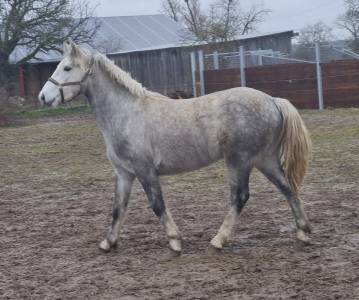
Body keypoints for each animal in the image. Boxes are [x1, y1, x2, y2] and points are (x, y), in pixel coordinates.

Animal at [37, 39, 312, 254]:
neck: (125, 113)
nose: (43, 97)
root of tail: (273, 101)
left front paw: (175, 241)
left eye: (67, 67)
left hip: (239, 161)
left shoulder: (145, 170)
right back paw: (303, 232)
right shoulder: (124, 173)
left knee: (240, 197)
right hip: (264, 160)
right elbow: (118, 208)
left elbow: (157, 205)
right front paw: (108, 242)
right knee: (288, 189)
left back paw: (219, 240)